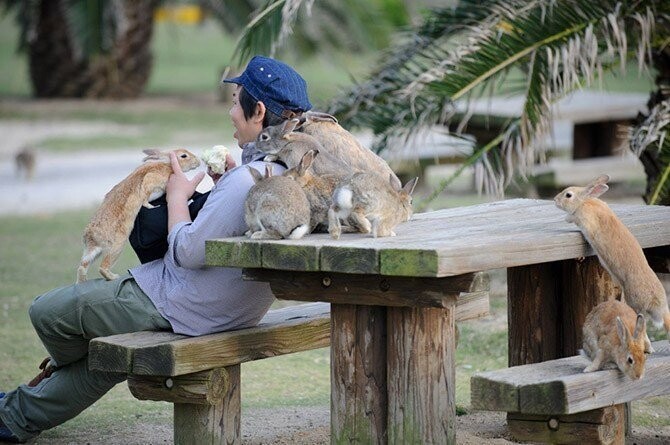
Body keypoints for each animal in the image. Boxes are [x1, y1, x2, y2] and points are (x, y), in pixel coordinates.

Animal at [78, 148, 201, 280]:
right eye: (183, 156)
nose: (198, 162)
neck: (168, 165)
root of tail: (90, 236)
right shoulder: (151, 180)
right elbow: (145, 198)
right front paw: (153, 207)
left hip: (95, 252)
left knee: (82, 266)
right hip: (117, 244)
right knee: (103, 266)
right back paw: (114, 277)